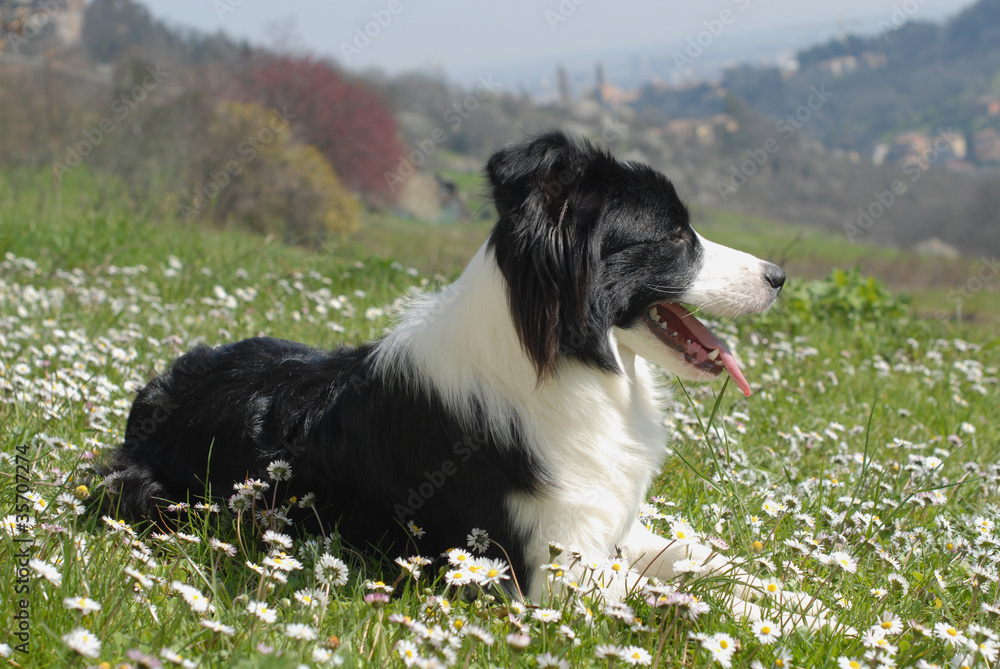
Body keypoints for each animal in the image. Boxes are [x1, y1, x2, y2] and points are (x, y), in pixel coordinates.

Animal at [105, 132, 832, 628]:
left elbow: (705, 561)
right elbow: (675, 593)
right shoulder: (549, 575)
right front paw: (790, 620)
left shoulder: (609, 524)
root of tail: (156, 393)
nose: (778, 276)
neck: (569, 360)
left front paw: (802, 603)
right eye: (677, 236)